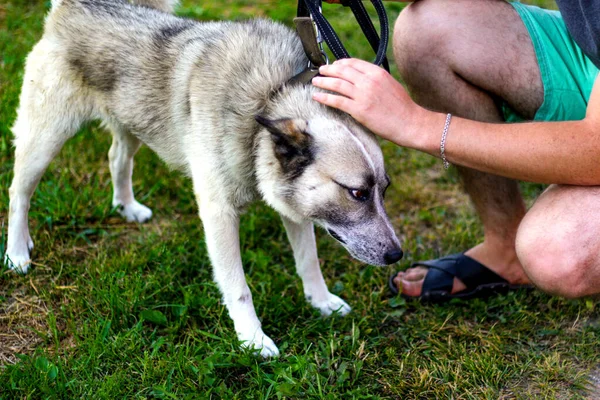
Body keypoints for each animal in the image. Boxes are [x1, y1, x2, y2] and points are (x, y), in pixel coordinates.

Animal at [4, 0, 400, 356]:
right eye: (356, 193)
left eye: (383, 189)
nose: (397, 255)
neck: (269, 98)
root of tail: (69, 7)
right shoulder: (219, 214)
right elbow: (239, 287)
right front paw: (252, 340)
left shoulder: (292, 205)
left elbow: (309, 262)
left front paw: (320, 302)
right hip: (46, 138)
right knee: (18, 192)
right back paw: (16, 252)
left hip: (133, 121)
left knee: (116, 158)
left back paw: (126, 207)